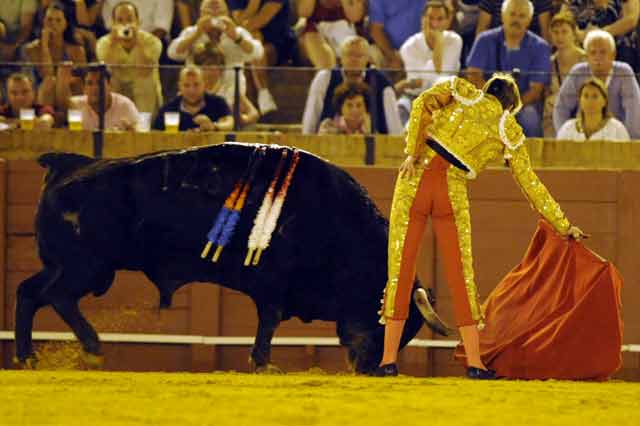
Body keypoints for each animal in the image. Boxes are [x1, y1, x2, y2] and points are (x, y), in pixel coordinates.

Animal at [15, 143, 438, 372]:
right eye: (393, 319)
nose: (376, 370)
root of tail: (67, 164)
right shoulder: (273, 285)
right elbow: (268, 321)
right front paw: (264, 363)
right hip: (85, 267)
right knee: (54, 296)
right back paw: (89, 350)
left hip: (69, 267)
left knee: (29, 292)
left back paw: (28, 357)